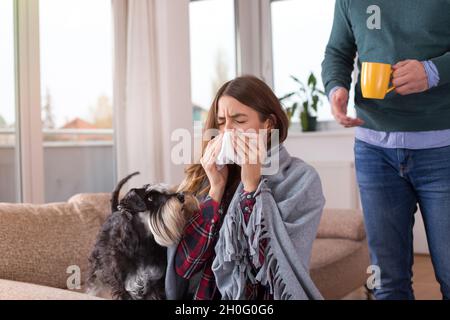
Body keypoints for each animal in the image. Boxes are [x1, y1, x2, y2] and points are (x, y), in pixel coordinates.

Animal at [87, 172, 199, 300]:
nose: (181, 196)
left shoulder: (155, 283)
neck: (143, 245)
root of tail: (114, 211)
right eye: (151, 198)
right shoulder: (125, 286)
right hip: (97, 265)